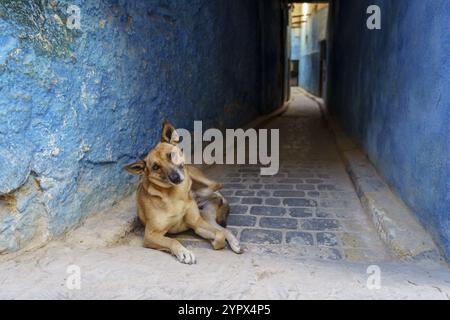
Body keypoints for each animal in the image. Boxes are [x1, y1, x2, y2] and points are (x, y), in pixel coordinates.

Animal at [125, 121, 241, 264]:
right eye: (156, 167)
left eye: (170, 155)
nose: (175, 178)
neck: (175, 195)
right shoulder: (151, 234)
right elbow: (172, 241)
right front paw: (184, 252)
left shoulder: (196, 223)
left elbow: (219, 236)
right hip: (207, 217)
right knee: (222, 228)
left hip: (194, 177)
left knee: (216, 186)